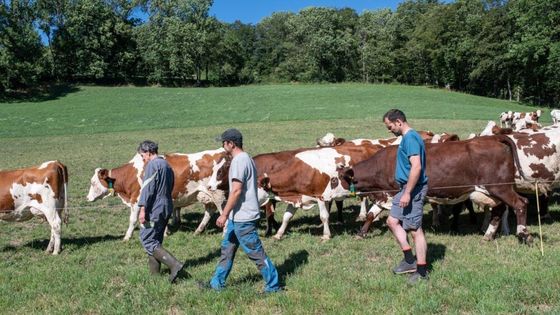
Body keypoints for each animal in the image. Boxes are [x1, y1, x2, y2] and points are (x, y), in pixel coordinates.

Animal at [87, 149, 228, 241]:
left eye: (93, 182)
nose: (87, 198)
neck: (131, 174)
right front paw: (163, 232)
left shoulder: (137, 200)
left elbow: (133, 220)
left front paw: (127, 237)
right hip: (206, 195)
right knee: (209, 211)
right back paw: (198, 231)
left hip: (218, 195)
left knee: (223, 214)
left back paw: (224, 234)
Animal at [336, 136, 532, 244]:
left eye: (336, 180)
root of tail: (493, 138)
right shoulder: (385, 195)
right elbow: (371, 214)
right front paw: (361, 233)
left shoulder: (395, 194)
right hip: (492, 192)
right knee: (498, 210)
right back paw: (488, 236)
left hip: (500, 187)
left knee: (521, 203)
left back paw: (523, 235)